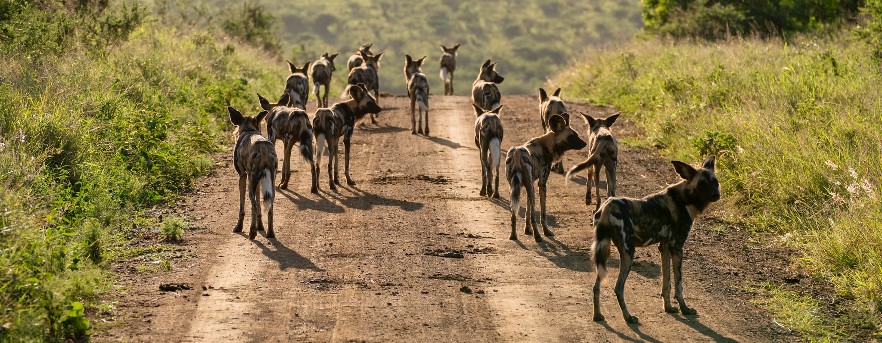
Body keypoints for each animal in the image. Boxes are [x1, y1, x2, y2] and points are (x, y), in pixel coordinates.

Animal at [227, 106, 276, 241]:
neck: (248, 130)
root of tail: (263, 148)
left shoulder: (243, 177)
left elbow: (242, 207)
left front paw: (239, 227)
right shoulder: (259, 182)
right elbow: (259, 206)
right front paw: (260, 226)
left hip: (250, 183)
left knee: (253, 205)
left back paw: (252, 232)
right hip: (270, 182)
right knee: (270, 207)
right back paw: (270, 233)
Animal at [502, 113, 584, 242]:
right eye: (573, 136)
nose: (585, 143)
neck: (547, 145)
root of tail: (516, 153)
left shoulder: (530, 185)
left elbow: (527, 211)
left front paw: (527, 230)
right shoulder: (541, 184)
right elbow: (542, 213)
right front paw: (546, 231)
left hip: (515, 189)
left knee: (513, 214)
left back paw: (513, 236)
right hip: (529, 188)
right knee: (533, 215)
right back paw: (538, 236)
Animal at [592, 156, 720, 326]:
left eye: (715, 182)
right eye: (702, 184)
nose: (716, 195)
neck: (685, 198)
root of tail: (608, 206)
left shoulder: (665, 247)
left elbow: (667, 283)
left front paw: (669, 308)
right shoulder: (677, 247)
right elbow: (679, 285)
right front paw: (685, 309)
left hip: (603, 253)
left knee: (596, 287)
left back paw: (598, 316)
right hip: (628, 253)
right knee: (618, 288)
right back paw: (628, 317)